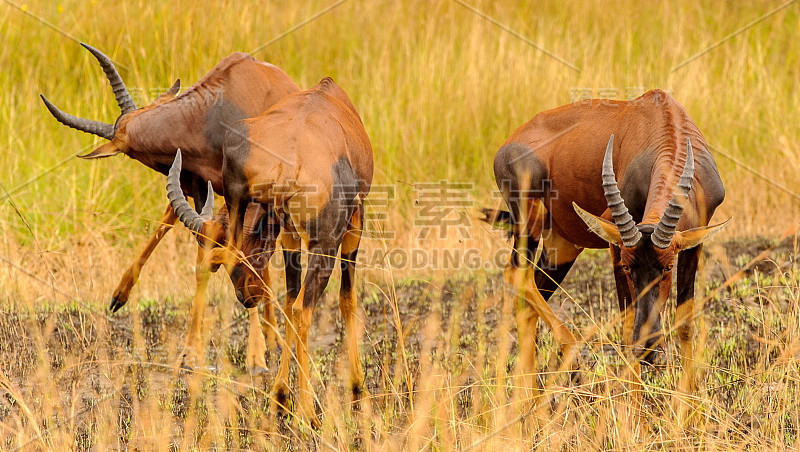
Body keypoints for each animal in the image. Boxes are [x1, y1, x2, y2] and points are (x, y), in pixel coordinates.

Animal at [39, 42, 300, 370]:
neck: (209, 114)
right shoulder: (199, 188)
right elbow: (203, 263)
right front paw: (191, 352)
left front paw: (255, 354)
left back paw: (271, 338)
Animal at [169, 77, 376, 424]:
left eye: (249, 258)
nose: (247, 296)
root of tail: (287, 167)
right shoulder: (354, 223)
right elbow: (347, 300)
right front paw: (358, 389)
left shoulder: (287, 234)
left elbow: (289, 298)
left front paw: (280, 395)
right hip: (326, 244)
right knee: (303, 309)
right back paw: (308, 412)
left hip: (254, 213)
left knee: (289, 303)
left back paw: (280, 397)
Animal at [484, 91, 728, 396]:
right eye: (627, 267)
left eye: (667, 268)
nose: (648, 349)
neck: (666, 124)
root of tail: (507, 144)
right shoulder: (616, 242)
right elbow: (626, 325)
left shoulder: (693, 244)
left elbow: (685, 322)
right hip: (529, 219)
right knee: (516, 274)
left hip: (562, 246)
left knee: (527, 302)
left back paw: (528, 400)